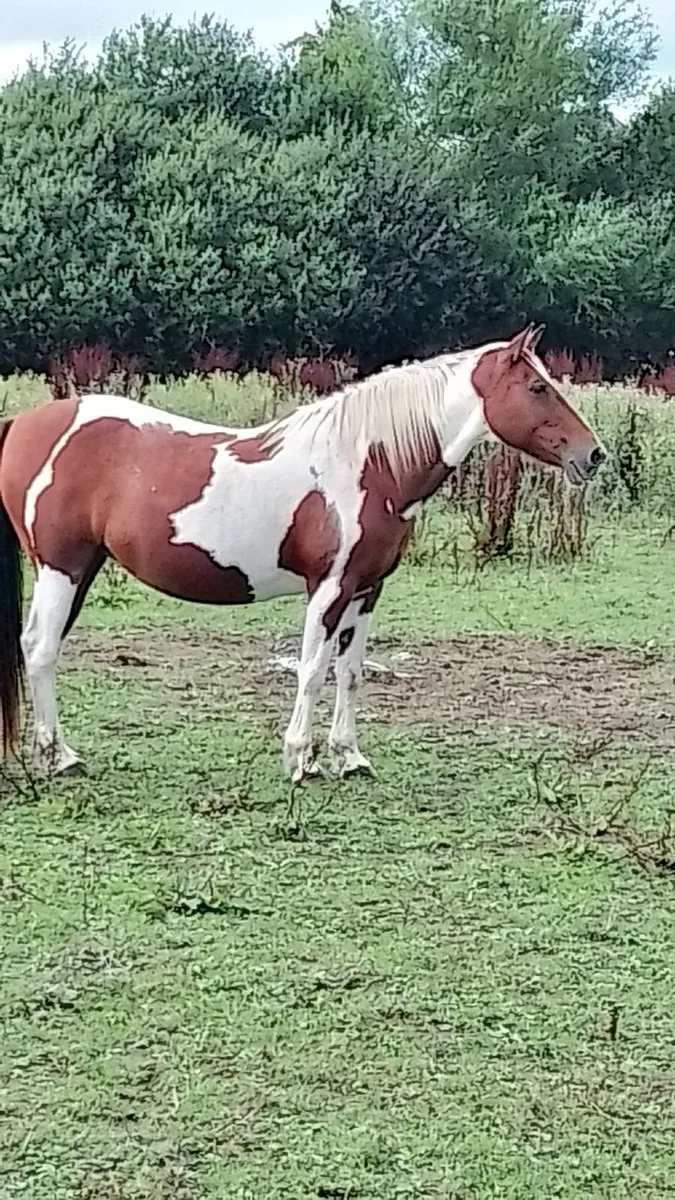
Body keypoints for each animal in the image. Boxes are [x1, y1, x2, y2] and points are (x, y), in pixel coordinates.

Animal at [0, 324, 605, 782]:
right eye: (537, 387)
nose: (594, 455)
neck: (370, 463)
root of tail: (26, 423)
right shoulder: (328, 588)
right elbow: (313, 669)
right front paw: (301, 760)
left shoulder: (366, 590)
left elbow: (351, 672)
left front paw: (350, 757)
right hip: (61, 568)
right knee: (40, 649)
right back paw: (60, 756)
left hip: (81, 571)